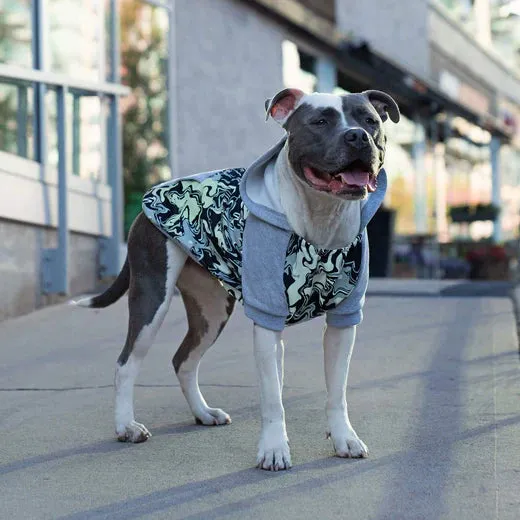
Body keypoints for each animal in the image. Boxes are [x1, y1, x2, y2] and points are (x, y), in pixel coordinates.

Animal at [75, 88, 400, 472]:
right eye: (320, 121)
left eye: (371, 121)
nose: (358, 137)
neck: (320, 219)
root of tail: (148, 201)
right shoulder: (267, 319)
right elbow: (273, 397)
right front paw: (274, 450)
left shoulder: (343, 321)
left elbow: (336, 391)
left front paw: (344, 438)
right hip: (152, 300)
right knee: (126, 363)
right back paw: (127, 426)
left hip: (212, 310)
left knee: (183, 360)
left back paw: (203, 413)